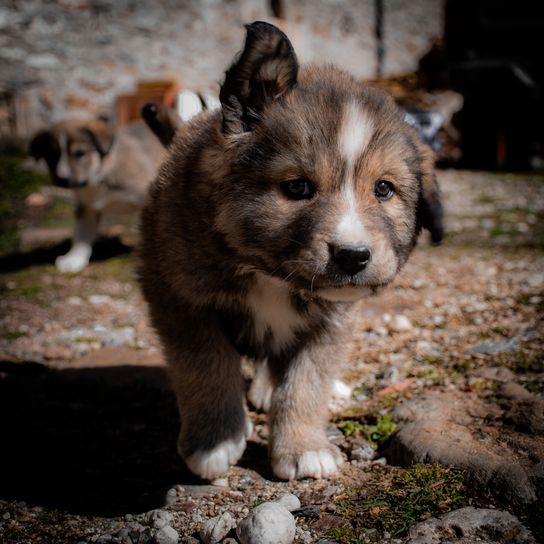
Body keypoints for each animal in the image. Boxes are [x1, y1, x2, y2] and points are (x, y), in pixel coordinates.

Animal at [30, 119, 164, 272]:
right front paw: (74, 259)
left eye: (79, 153)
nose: (62, 179)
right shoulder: (87, 207)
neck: (98, 178)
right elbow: (81, 234)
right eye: (52, 154)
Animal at [137, 20, 442, 480]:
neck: (270, 276)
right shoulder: (181, 301)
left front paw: (302, 446)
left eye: (384, 189)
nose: (353, 256)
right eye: (297, 187)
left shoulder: (330, 324)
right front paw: (215, 441)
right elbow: (206, 367)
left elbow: (306, 383)